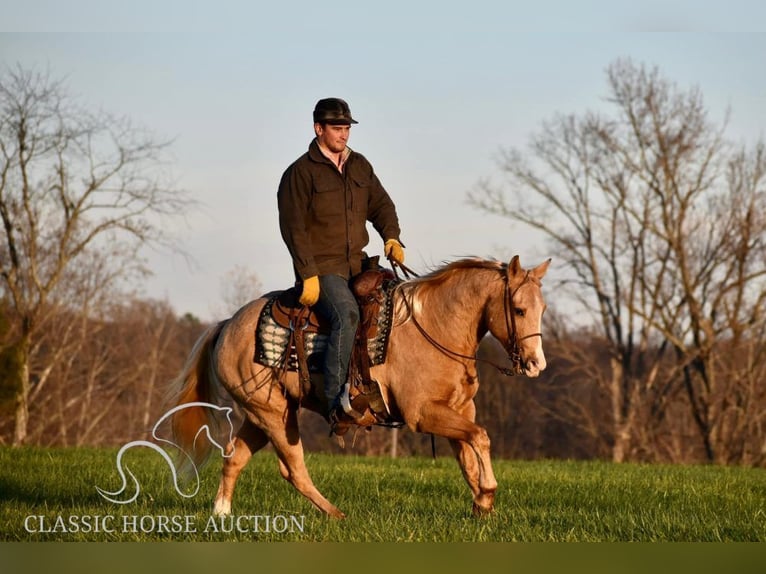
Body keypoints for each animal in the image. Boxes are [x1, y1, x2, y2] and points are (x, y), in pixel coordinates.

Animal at [170, 255, 548, 516]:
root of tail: (227, 325)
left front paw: (481, 505)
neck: (435, 325)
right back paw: (335, 514)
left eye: (542, 308)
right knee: (293, 470)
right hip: (273, 416)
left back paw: (222, 512)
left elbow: (469, 453)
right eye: (519, 309)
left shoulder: (459, 409)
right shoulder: (423, 414)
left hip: (261, 414)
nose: (536, 364)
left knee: (234, 457)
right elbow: (480, 437)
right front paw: (487, 494)